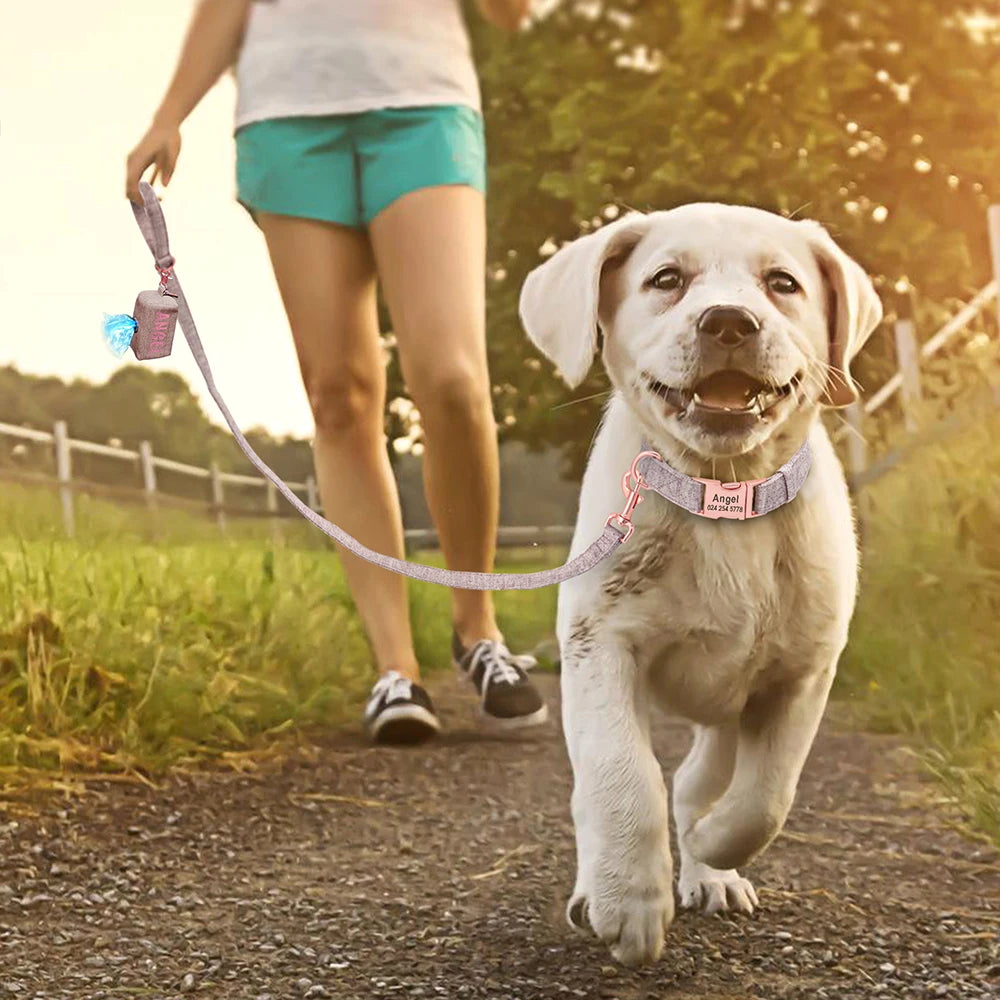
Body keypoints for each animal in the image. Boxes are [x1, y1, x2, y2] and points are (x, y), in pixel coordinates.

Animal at [520, 205, 880, 968]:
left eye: (783, 283)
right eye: (665, 279)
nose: (729, 322)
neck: (726, 497)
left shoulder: (803, 674)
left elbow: (767, 797)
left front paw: (716, 846)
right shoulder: (600, 645)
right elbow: (624, 775)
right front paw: (629, 900)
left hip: (729, 706)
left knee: (699, 780)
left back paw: (708, 867)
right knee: (614, 789)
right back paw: (599, 887)